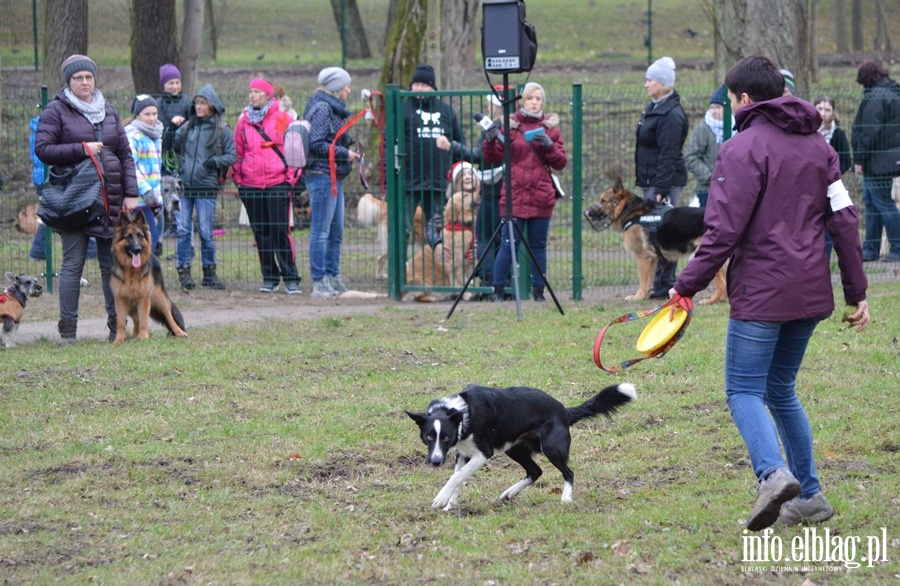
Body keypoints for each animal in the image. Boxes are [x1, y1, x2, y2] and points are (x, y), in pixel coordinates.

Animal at [109, 212, 186, 342]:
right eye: (128, 237)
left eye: (140, 236)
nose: (137, 249)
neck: (131, 271)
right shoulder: (120, 299)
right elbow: (121, 322)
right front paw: (119, 340)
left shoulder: (144, 299)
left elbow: (144, 321)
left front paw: (144, 338)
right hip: (131, 305)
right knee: (136, 320)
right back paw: (134, 336)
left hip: (159, 298)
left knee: (168, 315)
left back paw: (179, 332)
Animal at [584, 177, 724, 306]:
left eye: (603, 200)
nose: (587, 212)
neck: (633, 213)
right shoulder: (652, 259)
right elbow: (648, 281)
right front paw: (645, 296)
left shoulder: (643, 258)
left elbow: (643, 280)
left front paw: (638, 297)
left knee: (722, 284)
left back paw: (710, 301)